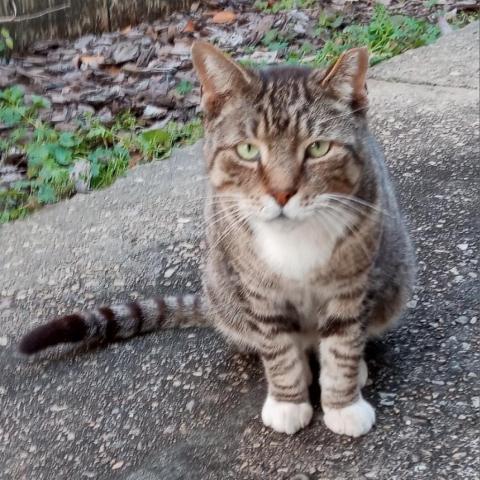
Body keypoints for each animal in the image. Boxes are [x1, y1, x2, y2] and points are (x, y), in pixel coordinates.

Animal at [18, 42, 414, 438]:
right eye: (248, 151)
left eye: (318, 149)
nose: (282, 193)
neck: (295, 241)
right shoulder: (258, 289)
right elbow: (278, 349)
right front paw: (288, 401)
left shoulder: (351, 284)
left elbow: (343, 344)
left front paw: (343, 404)